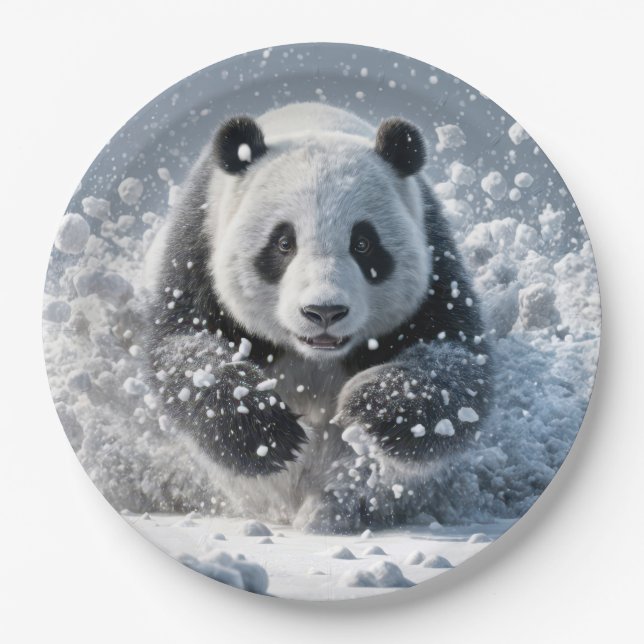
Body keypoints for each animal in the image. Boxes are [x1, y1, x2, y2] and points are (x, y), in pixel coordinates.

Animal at [145, 102, 492, 533]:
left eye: (363, 243)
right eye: (283, 243)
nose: (324, 311)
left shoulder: (435, 259)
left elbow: (457, 369)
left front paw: (369, 409)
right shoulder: (197, 249)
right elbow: (184, 351)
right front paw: (267, 431)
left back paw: (331, 510)